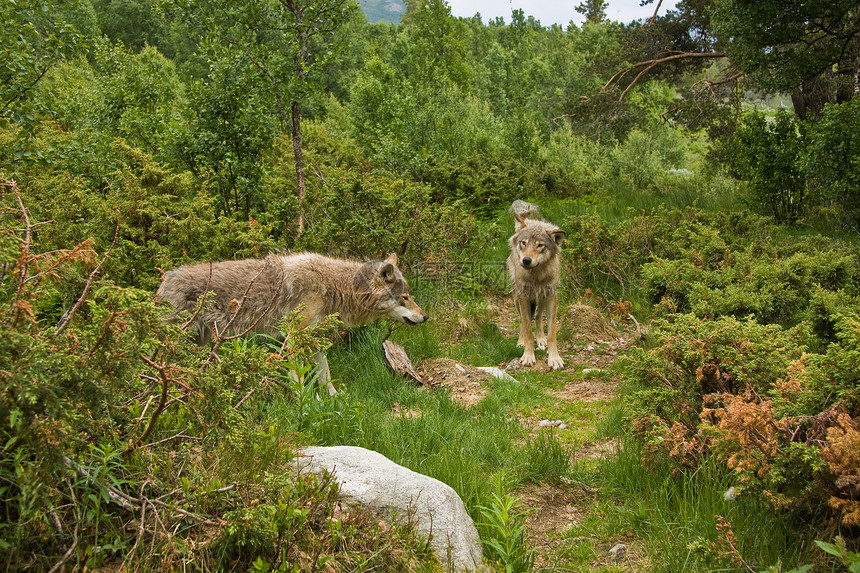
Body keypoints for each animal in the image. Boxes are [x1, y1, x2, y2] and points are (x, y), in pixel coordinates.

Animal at [156, 251, 428, 382]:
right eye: (405, 298)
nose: (425, 317)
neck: (333, 285)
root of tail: (165, 280)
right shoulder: (294, 338)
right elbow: (298, 376)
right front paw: (301, 404)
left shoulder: (314, 340)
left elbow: (325, 376)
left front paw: (333, 402)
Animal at [508, 206, 568, 370]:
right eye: (523, 243)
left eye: (540, 245)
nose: (526, 260)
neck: (536, 275)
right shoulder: (523, 296)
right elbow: (528, 329)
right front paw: (528, 355)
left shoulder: (551, 296)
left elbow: (551, 332)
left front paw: (554, 358)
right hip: (517, 298)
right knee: (523, 320)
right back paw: (520, 342)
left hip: (541, 299)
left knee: (539, 317)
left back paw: (541, 338)